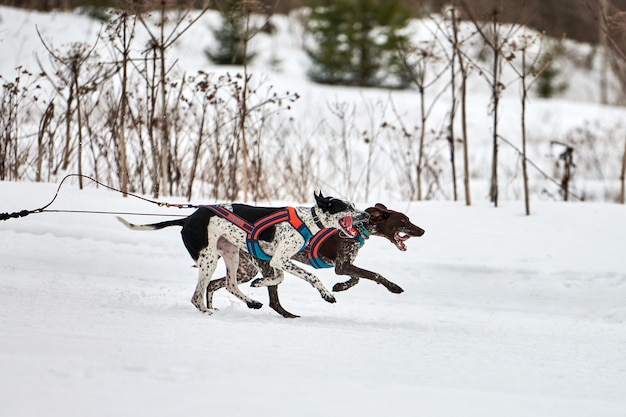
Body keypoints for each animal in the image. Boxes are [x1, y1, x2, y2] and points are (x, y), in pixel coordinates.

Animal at [117, 193, 366, 314]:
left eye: (355, 205)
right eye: (347, 207)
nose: (365, 215)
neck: (306, 221)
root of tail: (187, 219)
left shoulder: (274, 260)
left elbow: (278, 277)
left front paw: (260, 283)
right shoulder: (280, 258)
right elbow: (310, 276)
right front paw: (327, 294)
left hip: (231, 254)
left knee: (229, 284)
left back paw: (251, 302)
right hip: (209, 260)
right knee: (197, 296)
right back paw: (207, 312)